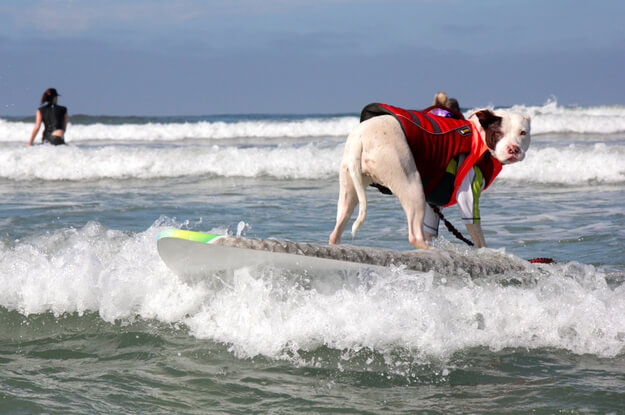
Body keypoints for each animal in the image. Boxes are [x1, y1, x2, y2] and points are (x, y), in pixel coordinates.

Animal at [330, 104, 528, 250]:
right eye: (498, 133)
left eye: (523, 133)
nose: (513, 149)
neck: (479, 136)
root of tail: (361, 137)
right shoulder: (468, 192)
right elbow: (476, 231)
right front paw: (484, 252)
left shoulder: (433, 203)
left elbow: (430, 228)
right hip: (411, 185)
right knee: (414, 236)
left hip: (349, 187)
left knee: (338, 226)